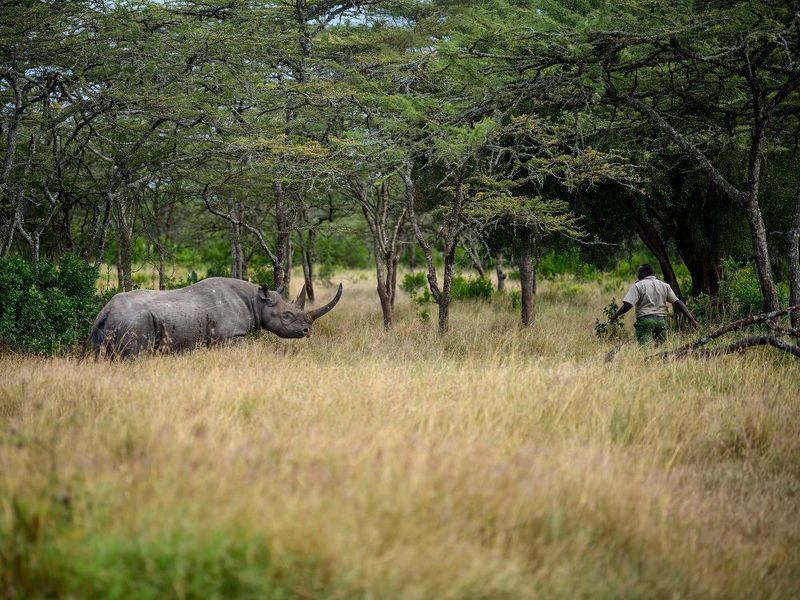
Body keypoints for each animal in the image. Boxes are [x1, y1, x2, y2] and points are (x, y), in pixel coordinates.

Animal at [89, 277, 343, 358]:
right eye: (288, 316)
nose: (307, 332)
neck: (256, 301)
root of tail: (106, 311)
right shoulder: (231, 337)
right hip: (135, 320)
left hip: (108, 324)